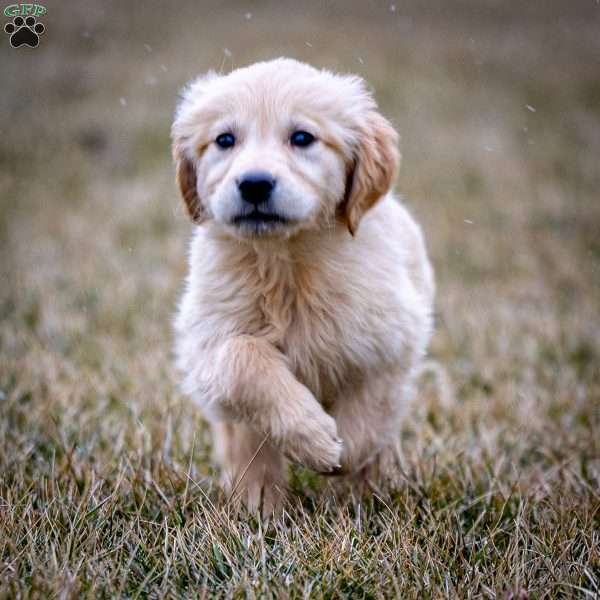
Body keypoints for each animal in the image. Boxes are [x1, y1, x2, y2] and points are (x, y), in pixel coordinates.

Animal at [171, 58, 434, 512]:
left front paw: (343, 453)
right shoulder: (205, 342)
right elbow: (243, 358)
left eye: (302, 138)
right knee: (248, 448)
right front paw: (313, 438)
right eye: (225, 140)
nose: (254, 183)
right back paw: (259, 508)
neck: (284, 263)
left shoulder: (393, 338)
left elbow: (372, 408)